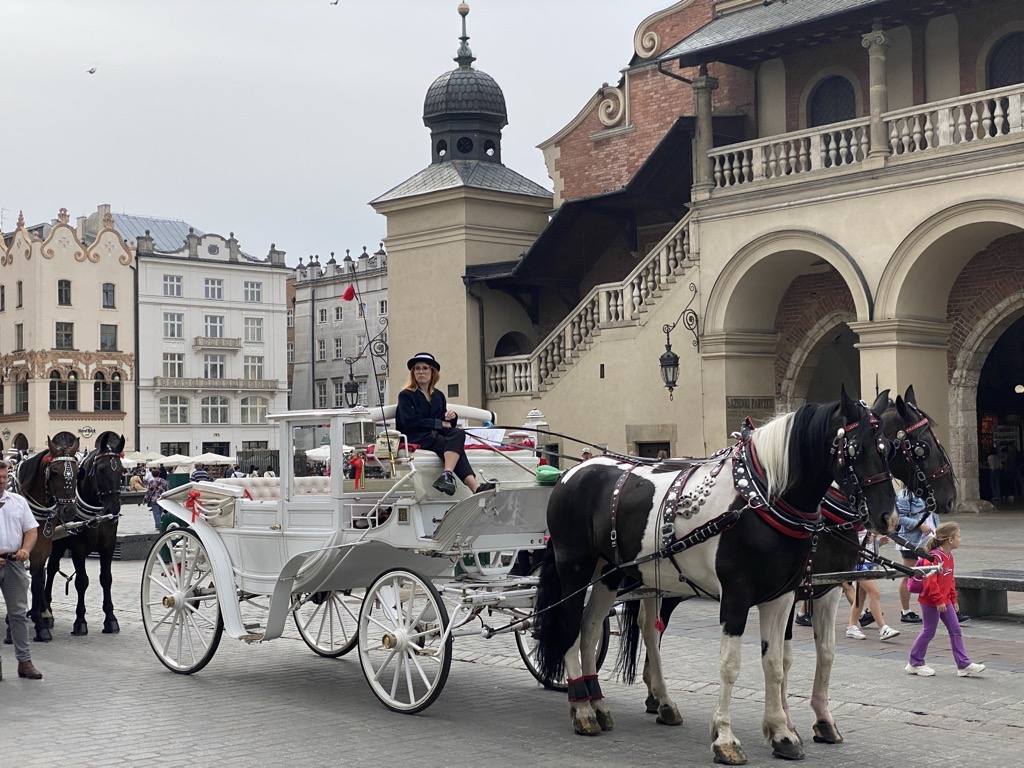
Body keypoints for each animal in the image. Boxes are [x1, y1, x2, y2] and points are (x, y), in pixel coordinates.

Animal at [10, 434, 79, 643]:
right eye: (54, 472)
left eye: (78, 471)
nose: (69, 510)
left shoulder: (40, 551)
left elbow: (37, 582)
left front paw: (40, 626)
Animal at [44, 434, 124, 638]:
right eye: (101, 469)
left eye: (122, 471)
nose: (114, 508)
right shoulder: (78, 549)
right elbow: (82, 581)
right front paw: (80, 621)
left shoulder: (108, 546)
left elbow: (106, 579)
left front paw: (110, 619)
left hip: (58, 544)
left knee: (52, 568)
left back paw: (46, 610)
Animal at [536, 393, 897, 765]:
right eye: (855, 448)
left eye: (889, 447)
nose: (888, 517)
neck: (760, 498)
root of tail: (572, 471)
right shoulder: (737, 596)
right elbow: (730, 665)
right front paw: (725, 738)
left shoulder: (782, 597)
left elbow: (775, 663)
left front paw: (782, 734)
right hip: (574, 567)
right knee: (570, 625)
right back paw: (582, 709)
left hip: (610, 572)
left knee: (592, 627)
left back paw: (599, 702)